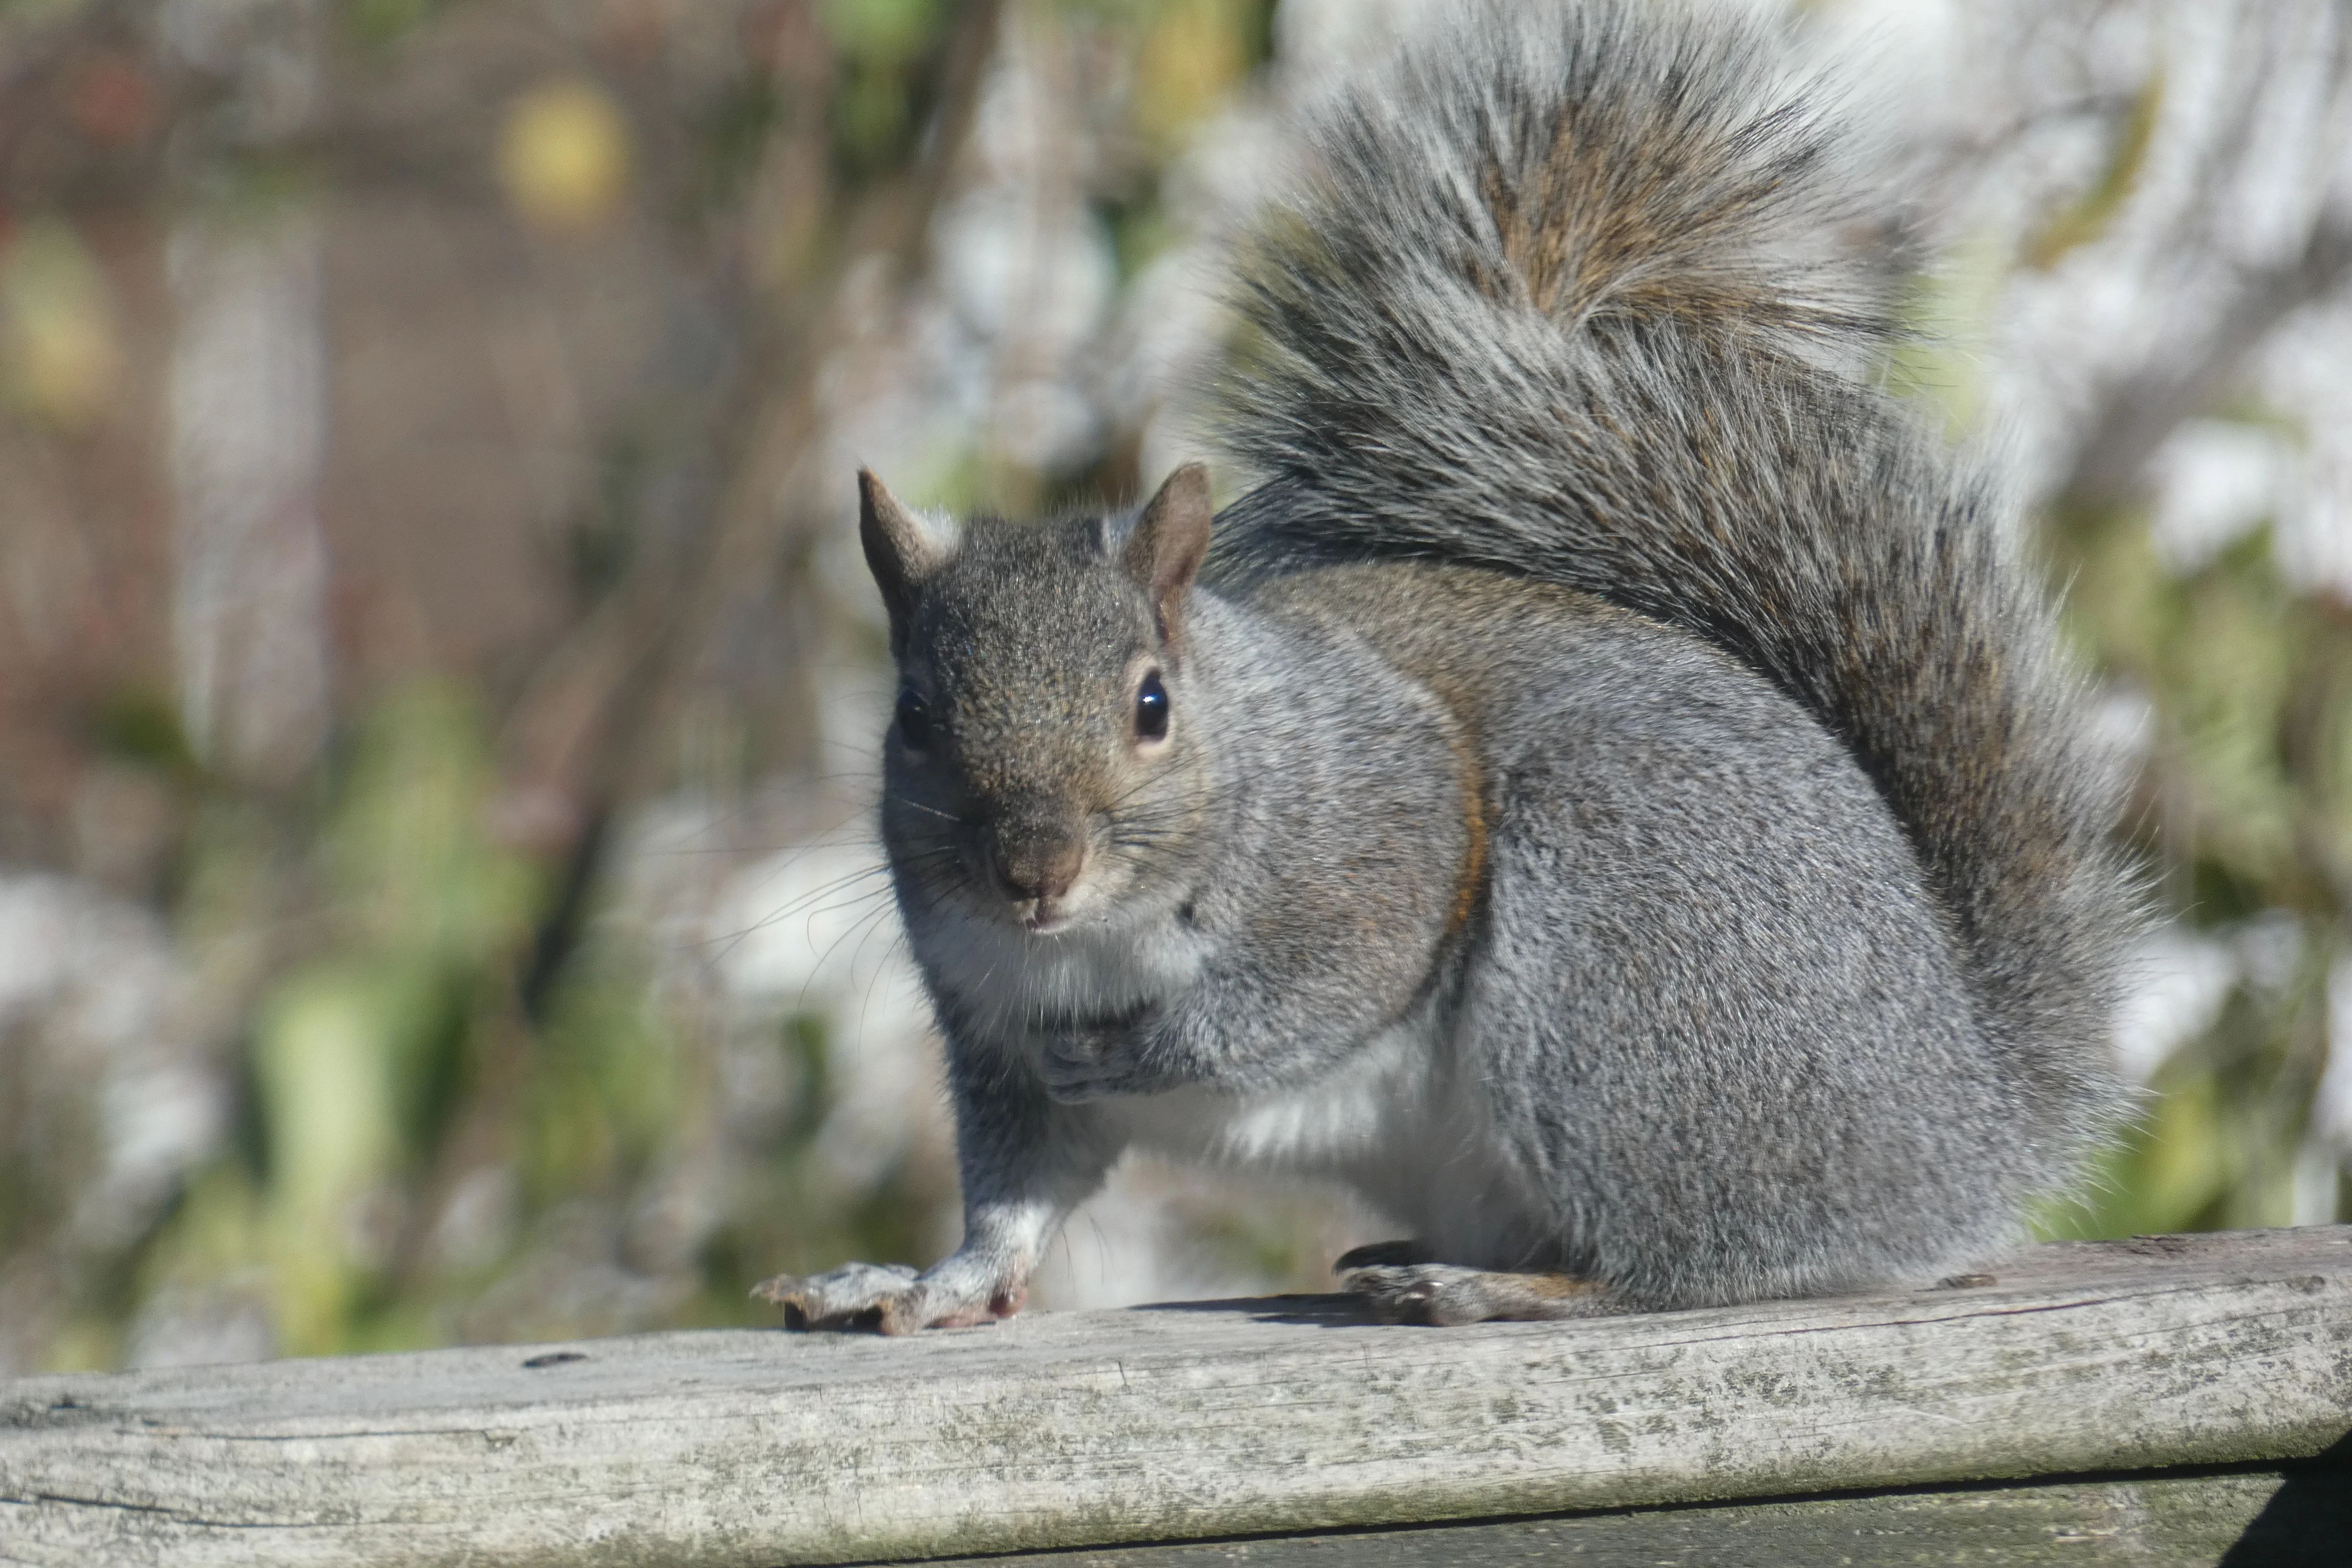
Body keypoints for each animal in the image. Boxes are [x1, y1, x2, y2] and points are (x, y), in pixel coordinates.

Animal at [753, 0, 2137, 1332]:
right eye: (914, 717)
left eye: (1152, 704)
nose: (1033, 872)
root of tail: (1963, 1125)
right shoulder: (990, 1035)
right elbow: (1019, 1198)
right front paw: (927, 1285)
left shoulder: (1386, 834)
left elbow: (1318, 992)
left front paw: (1151, 1050)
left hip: (1626, 966)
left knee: (1684, 1265)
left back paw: (1503, 1288)